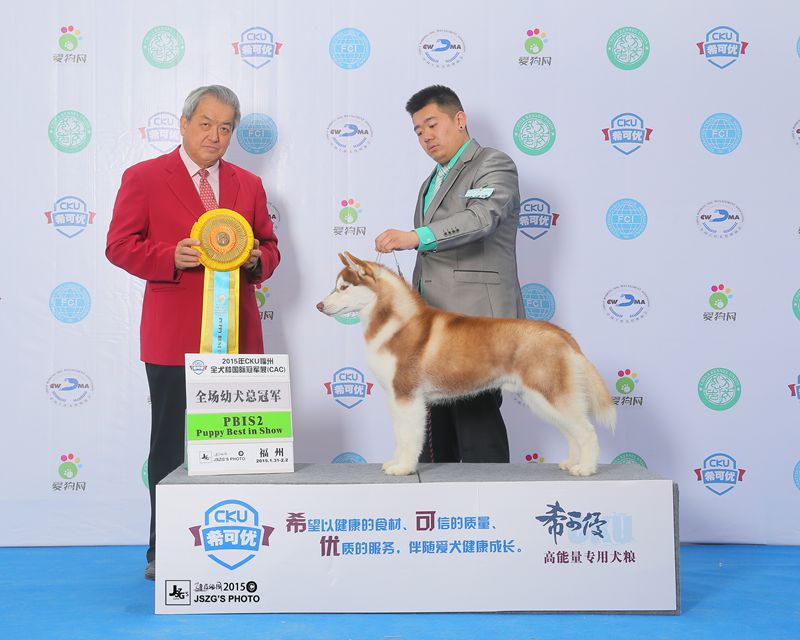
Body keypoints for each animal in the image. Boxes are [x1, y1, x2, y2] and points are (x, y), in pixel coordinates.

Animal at [316, 252, 616, 477]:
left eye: (343, 288)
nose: (319, 305)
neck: (394, 324)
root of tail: (560, 332)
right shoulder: (396, 396)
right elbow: (400, 435)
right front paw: (395, 461)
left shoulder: (407, 395)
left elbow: (409, 436)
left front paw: (404, 468)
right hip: (542, 398)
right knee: (571, 432)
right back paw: (572, 462)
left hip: (549, 393)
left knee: (586, 430)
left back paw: (586, 468)